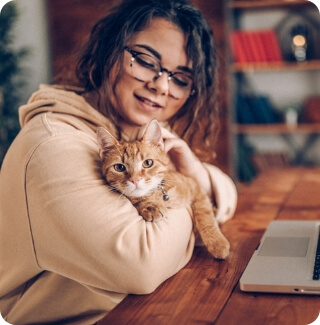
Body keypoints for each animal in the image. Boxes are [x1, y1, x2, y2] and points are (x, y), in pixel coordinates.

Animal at [96, 119, 229, 258]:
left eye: (147, 163)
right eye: (119, 167)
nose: (135, 180)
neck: (158, 195)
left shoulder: (195, 187)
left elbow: (206, 217)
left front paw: (217, 243)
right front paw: (150, 206)